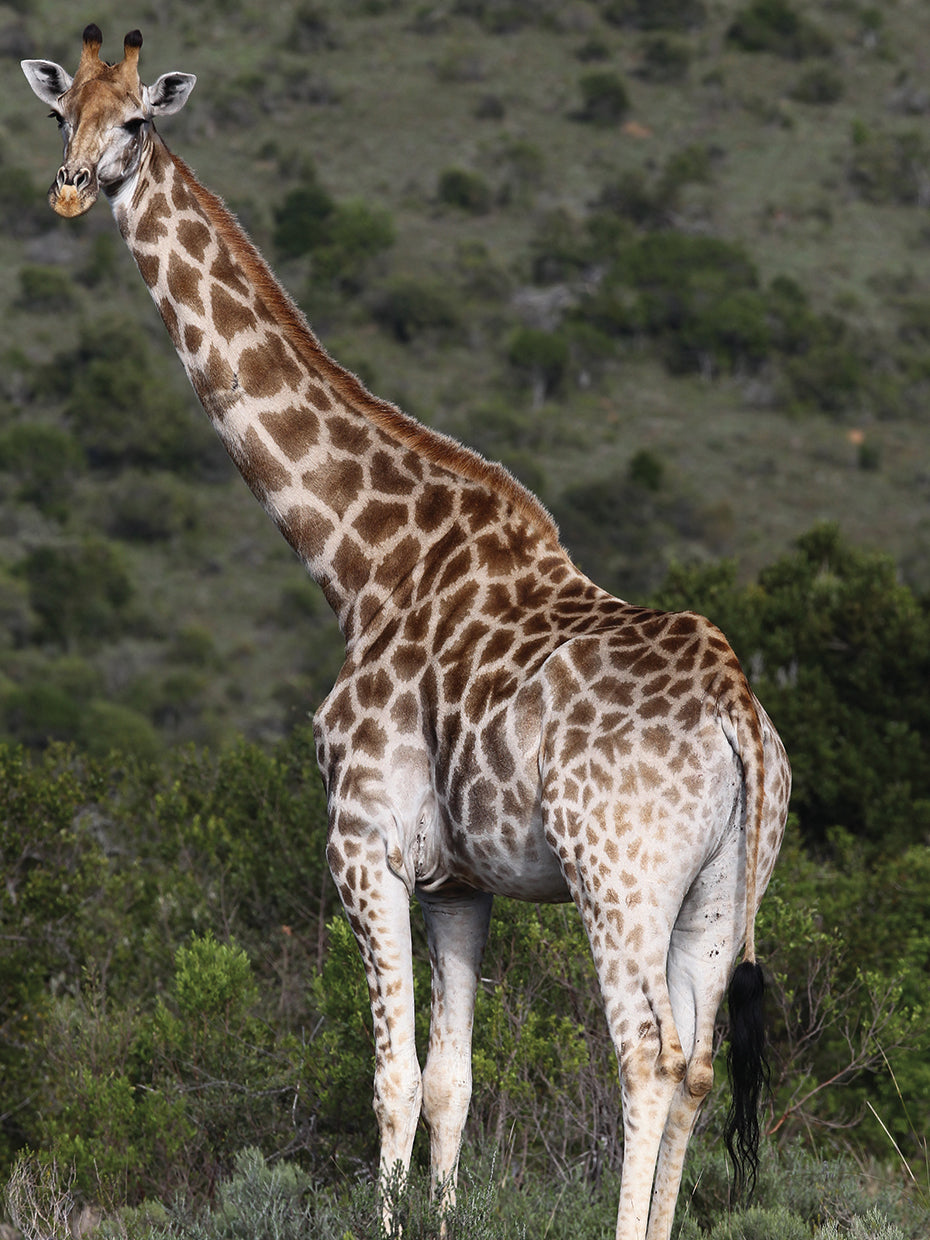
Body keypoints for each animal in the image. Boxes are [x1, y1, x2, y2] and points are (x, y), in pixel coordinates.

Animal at [23, 28, 790, 1240]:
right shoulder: (459, 881)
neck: (357, 563)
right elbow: (449, 1081)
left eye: (136, 122)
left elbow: (384, 1078)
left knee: (648, 1056)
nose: (67, 186)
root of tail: (737, 720)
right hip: (720, 892)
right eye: (63, 116)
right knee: (704, 1062)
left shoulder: (363, 844)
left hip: (617, 876)